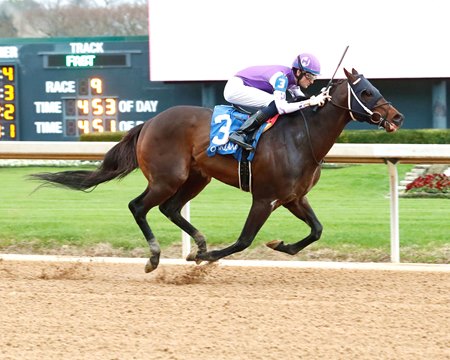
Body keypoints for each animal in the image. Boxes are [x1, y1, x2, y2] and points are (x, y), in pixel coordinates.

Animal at [30, 69, 404, 272]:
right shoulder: (265, 198)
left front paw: (280, 245)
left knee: (170, 209)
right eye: (367, 90)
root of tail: (149, 121)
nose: (397, 117)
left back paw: (197, 243)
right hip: (168, 177)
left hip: (197, 177)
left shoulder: (293, 197)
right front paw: (208, 258)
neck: (302, 136)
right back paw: (156, 256)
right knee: (138, 206)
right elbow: (244, 240)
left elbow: (316, 230)